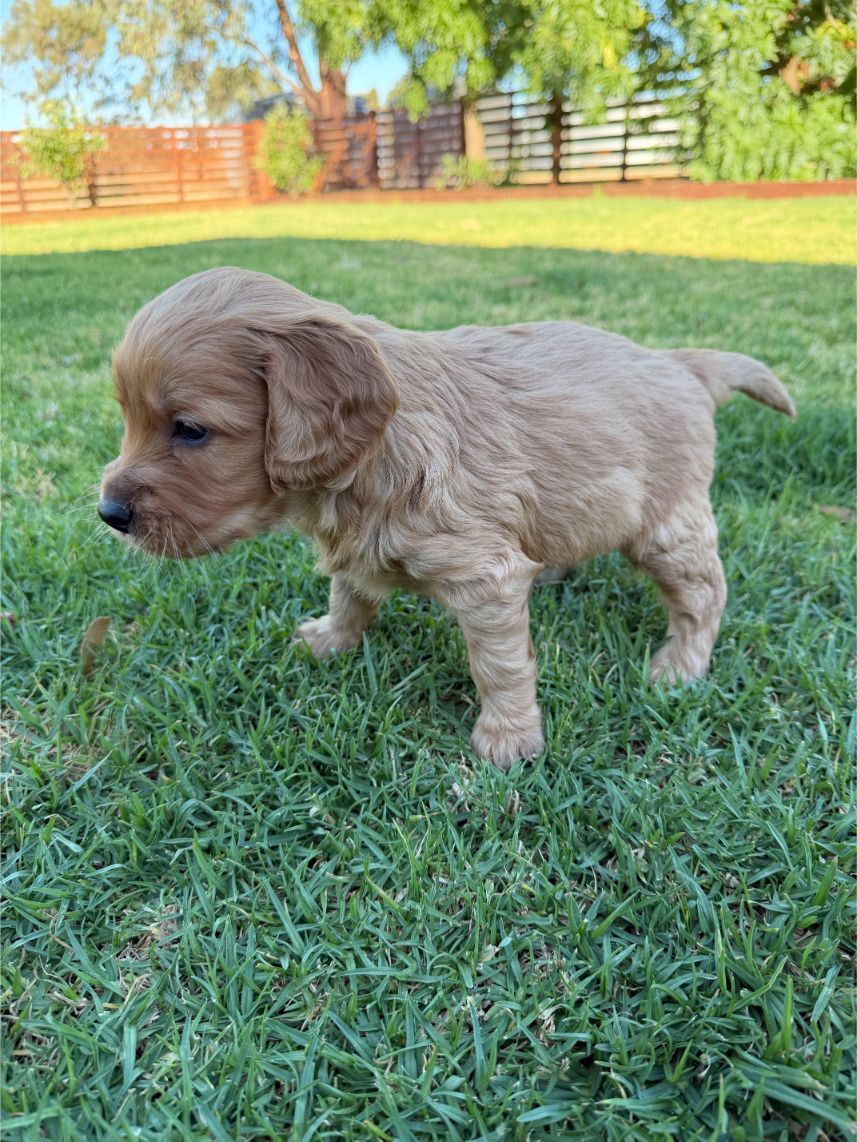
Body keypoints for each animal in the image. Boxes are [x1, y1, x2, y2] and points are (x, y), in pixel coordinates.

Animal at [99, 267, 795, 769]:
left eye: (191, 430)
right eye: (128, 417)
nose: (109, 514)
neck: (378, 452)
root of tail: (681, 363)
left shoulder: (484, 576)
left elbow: (499, 663)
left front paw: (509, 737)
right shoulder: (357, 541)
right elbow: (350, 593)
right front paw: (330, 639)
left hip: (666, 527)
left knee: (705, 594)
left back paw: (681, 665)